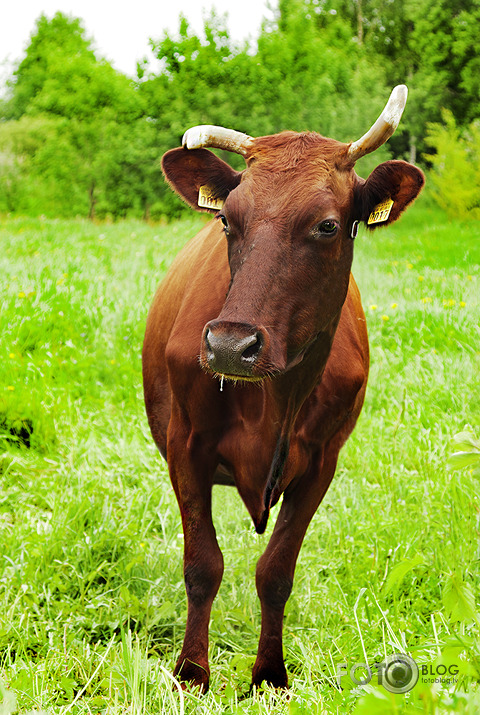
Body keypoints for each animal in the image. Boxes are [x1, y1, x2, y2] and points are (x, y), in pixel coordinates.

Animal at [142, 86, 424, 692]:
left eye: (327, 226)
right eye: (228, 220)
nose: (230, 346)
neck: (274, 397)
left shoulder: (320, 462)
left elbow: (276, 571)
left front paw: (269, 672)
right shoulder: (185, 446)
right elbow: (202, 565)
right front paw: (191, 672)